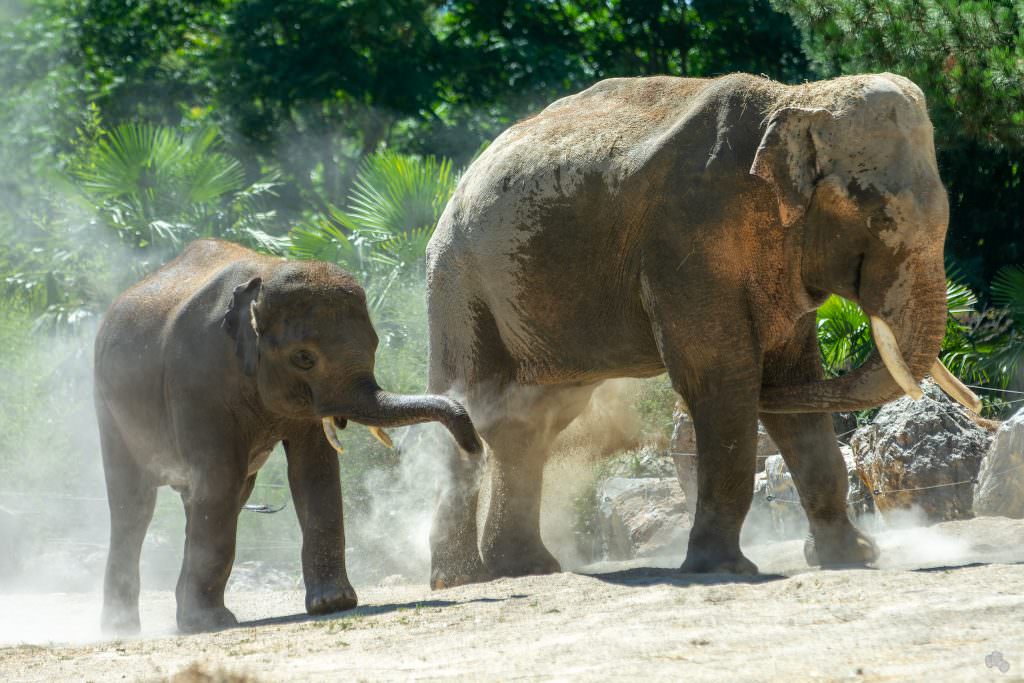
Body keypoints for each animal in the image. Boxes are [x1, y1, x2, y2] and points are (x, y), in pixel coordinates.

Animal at [95, 240, 479, 634]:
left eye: (374, 345)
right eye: (304, 358)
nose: (474, 446)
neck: (262, 281)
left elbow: (314, 471)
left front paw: (333, 604)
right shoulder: (197, 380)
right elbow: (219, 476)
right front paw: (210, 624)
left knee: (218, 496)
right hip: (107, 407)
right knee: (135, 506)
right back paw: (123, 628)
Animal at [421, 73, 974, 589]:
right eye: (879, 217)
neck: (793, 99)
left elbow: (794, 377)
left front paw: (853, 558)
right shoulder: (687, 236)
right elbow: (720, 378)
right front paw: (724, 569)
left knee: (528, 421)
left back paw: (524, 569)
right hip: (458, 284)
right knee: (470, 410)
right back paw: (464, 580)